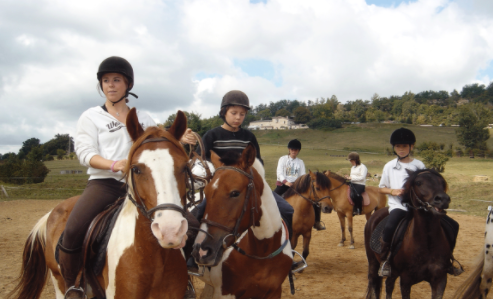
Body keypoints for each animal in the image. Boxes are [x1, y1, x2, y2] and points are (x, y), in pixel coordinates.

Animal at [8, 110, 192, 299]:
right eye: (136, 169)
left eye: (185, 167)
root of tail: (52, 212)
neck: (153, 257)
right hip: (59, 280)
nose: (170, 230)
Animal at [191, 144, 292, 298]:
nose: (201, 250)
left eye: (235, 193)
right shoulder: (225, 293)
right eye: (206, 192)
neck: (262, 253)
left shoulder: (274, 292)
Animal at [364, 170, 452, 298]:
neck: (427, 242)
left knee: (389, 285)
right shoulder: (406, 280)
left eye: (442, 182)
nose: (443, 199)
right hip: (373, 263)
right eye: (418, 182)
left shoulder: (440, 280)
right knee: (374, 285)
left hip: (393, 271)